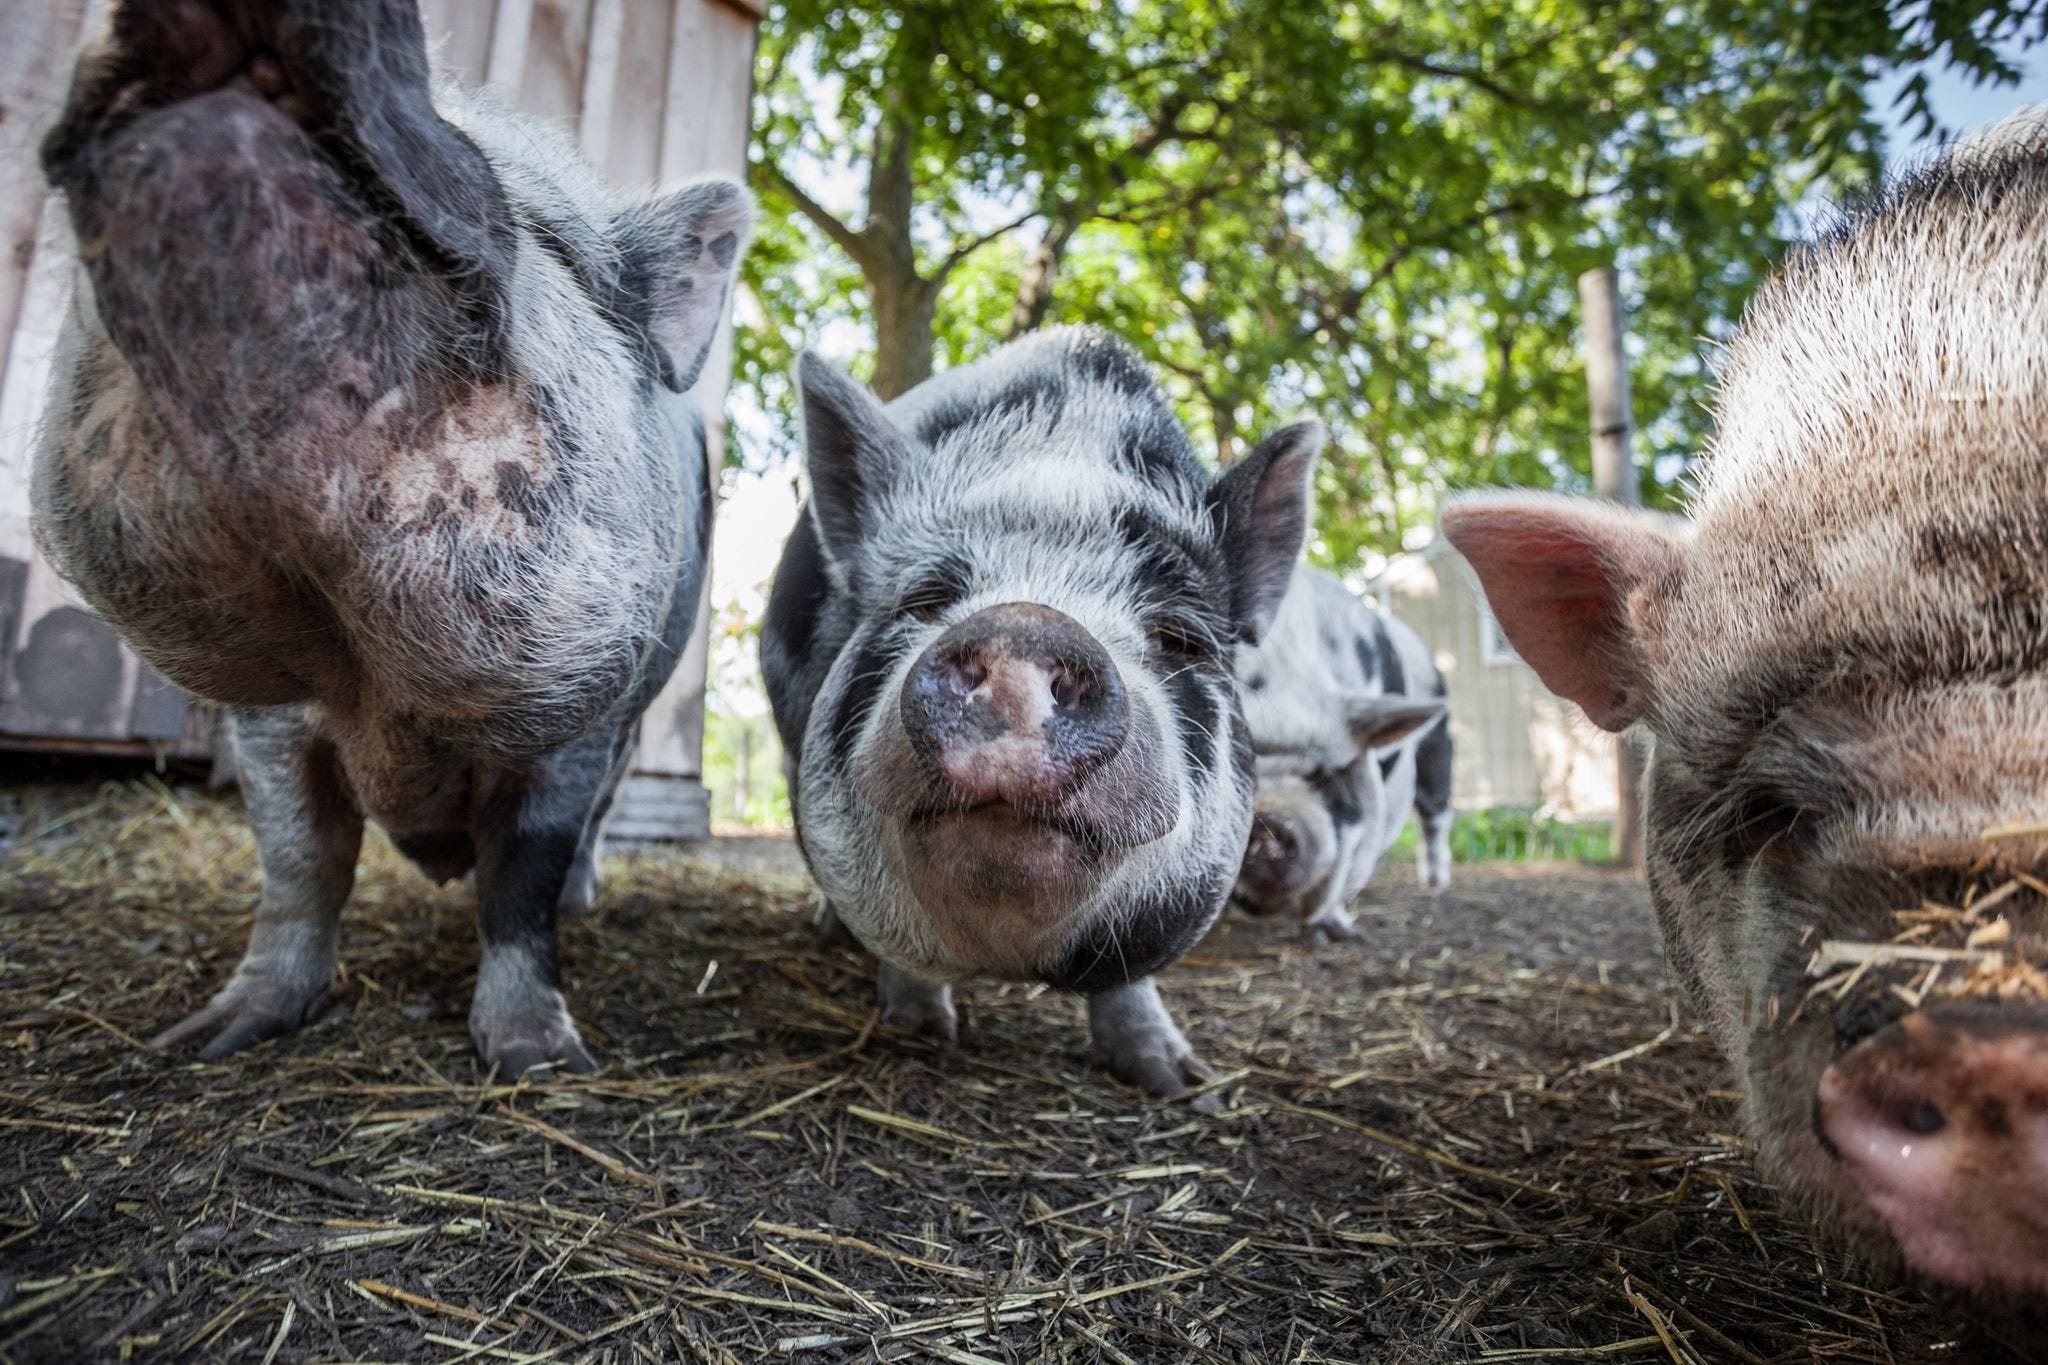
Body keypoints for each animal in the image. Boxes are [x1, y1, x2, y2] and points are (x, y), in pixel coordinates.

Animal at [31, 0, 751, 1075]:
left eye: (549, 236)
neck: (366, 679)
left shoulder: (580, 721)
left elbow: (523, 878)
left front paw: (542, 1061)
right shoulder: (268, 720)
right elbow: (299, 862)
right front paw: (198, 1040)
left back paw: (588, 904)